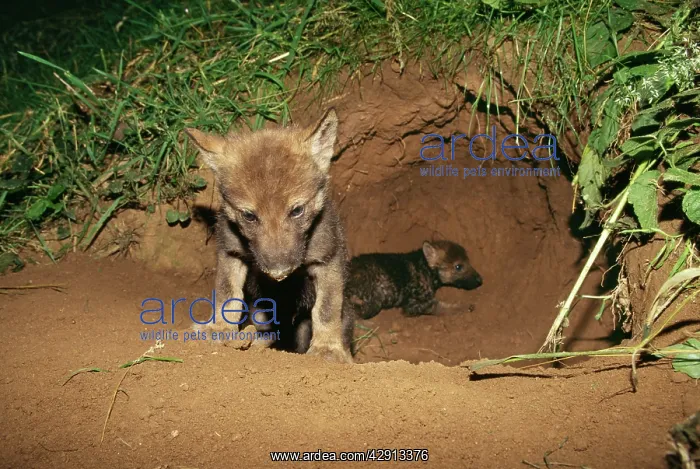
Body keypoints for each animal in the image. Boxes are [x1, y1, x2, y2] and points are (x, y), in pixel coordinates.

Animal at [183, 108, 354, 363]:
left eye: (297, 210)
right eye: (249, 215)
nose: (279, 272)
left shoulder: (327, 259)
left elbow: (326, 309)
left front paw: (327, 348)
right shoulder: (230, 252)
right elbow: (227, 295)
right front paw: (219, 329)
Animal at [344, 240, 483, 320]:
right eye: (458, 267)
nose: (480, 280)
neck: (425, 267)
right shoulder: (417, 305)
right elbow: (442, 307)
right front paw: (464, 307)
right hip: (374, 301)